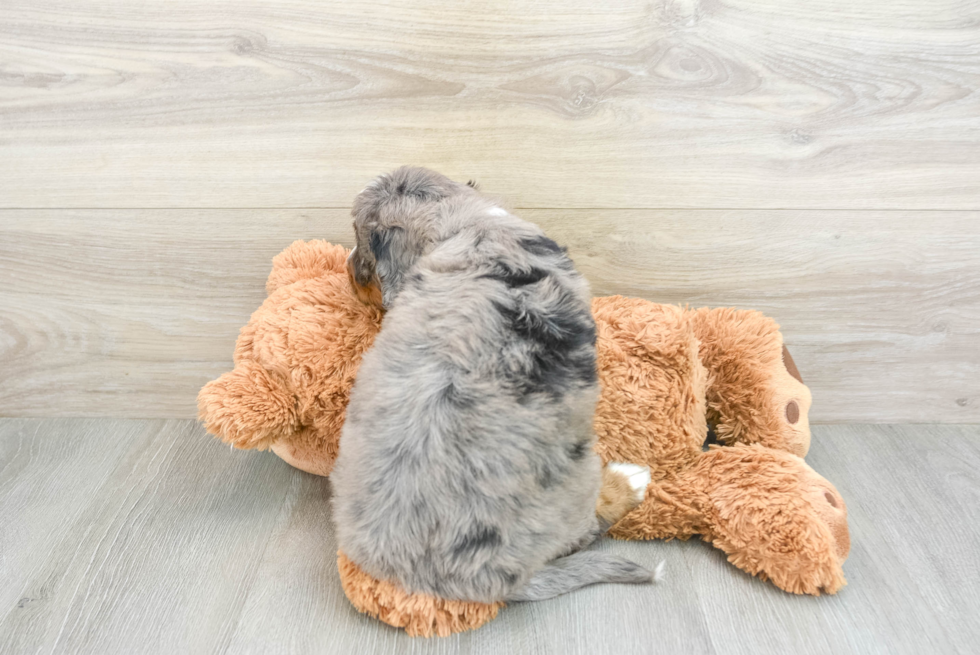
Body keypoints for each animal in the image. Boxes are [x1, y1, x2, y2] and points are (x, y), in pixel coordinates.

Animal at [334, 167, 656, 604]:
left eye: (360, 242)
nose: (347, 268)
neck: (469, 224)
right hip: (577, 477)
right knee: (588, 526)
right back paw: (630, 482)